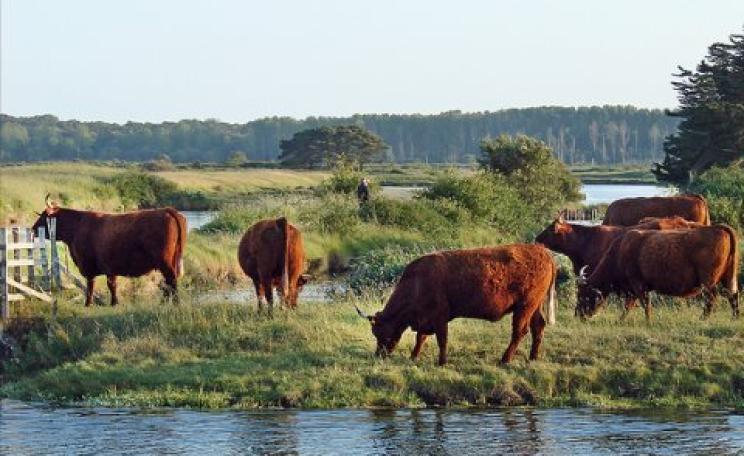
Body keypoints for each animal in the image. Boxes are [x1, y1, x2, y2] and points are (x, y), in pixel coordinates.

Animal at [31, 195, 187, 306]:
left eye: (44, 215)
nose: (33, 229)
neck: (77, 227)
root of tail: (167, 210)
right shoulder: (111, 268)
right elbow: (112, 285)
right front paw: (114, 303)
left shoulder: (90, 267)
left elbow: (92, 285)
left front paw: (88, 304)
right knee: (169, 282)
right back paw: (165, 302)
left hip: (165, 262)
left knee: (171, 280)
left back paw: (175, 303)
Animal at [355, 244, 557, 366]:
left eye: (381, 332)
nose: (379, 355)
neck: (418, 282)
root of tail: (543, 251)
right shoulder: (426, 319)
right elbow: (420, 338)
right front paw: (413, 357)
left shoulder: (439, 317)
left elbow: (441, 340)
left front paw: (441, 362)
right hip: (534, 306)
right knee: (538, 327)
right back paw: (533, 358)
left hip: (525, 306)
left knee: (519, 332)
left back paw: (505, 360)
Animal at [575, 225, 739, 321]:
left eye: (583, 295)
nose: (577, 315)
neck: (620, 250)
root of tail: (718, 228)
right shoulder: (635, 289)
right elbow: (630, 305)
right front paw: (620, 320)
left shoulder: (637, 285)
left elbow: (642, 304)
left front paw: (648, 321)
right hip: (727, 277)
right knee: (732, 295)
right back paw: (735, 317)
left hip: (708, 281)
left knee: (712, 298)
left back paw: (703, 319)